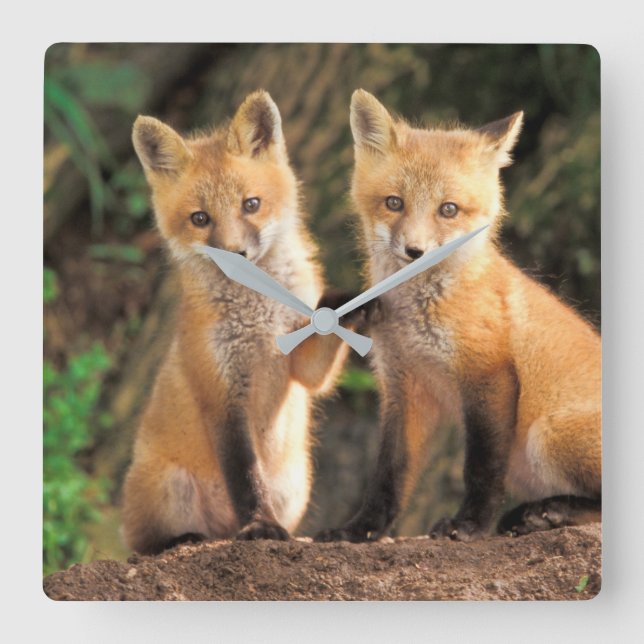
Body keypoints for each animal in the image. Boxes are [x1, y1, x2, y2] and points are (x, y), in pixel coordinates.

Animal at [122, 91, 356, 554]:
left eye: (251, 205)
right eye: (200, 218)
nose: (236, 253)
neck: (259, 320)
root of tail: (220, 530)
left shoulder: (303, 367)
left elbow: (323, 340)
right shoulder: (222, 394)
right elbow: (246, 478)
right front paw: (260, 526)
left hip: (295, 485)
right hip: (168, 487)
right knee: (144, 544)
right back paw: (186, 540)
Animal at [317, 89, 601, 543]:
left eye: (448, 209)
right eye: (394, 203)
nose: (414, 251)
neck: (417, 318)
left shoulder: (488, 374)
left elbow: (481, 468)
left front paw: (470, 524)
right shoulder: (404, 387)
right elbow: (388, 474)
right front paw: (360, 530)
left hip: (547, 435)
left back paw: (549, 512)